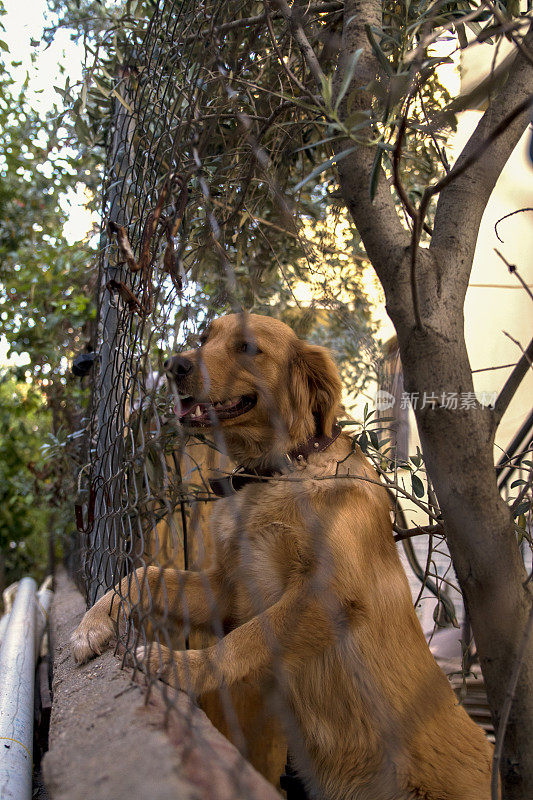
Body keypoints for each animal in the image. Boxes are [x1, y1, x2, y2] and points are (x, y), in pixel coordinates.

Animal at [70, 312, 490, 800]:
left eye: (248, 347)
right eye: (204, 338)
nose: (174, 366)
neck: (275, 473)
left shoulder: (326, 593)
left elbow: (247, 639)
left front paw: (179, 666)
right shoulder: (227, 589)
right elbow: (144, 575)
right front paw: (92, 624)